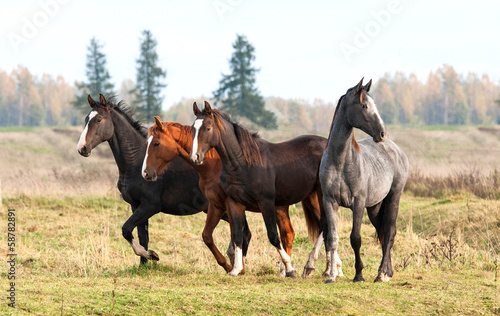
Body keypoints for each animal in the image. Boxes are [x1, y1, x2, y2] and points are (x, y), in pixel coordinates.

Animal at [76, 95, 250, 266]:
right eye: (86, 119)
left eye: (99, 119)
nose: (82, 148)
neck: (136, 162)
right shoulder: (136, 205)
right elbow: (142, 236)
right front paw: (144, 265)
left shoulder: (150, 206)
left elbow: (126, 229)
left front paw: (152, 255)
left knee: (244, 233)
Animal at [141, 116, 340, 276]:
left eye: (156, 143)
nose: (145, 173)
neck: (214, 164)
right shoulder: (216, 205)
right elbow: (208, 235)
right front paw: (230, 265)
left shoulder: (230, 204)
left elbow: (240, 234)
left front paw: (237, 266)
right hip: (298, 201)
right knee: (293, 232)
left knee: (322, 226)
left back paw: (321, 267)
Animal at [322, 79, 408, 284]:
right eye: (364, 106)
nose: (382, 133)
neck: (340, 162)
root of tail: (396, 149)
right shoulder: (329, 202)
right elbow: (332, 239)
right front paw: (331, 276)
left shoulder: (358, 203)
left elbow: (355, 238)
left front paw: (359, 274)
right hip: (375, 207)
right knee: (383, 233)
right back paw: (387, 272)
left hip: (393, 198)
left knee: (390, 231)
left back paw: (382, 273)